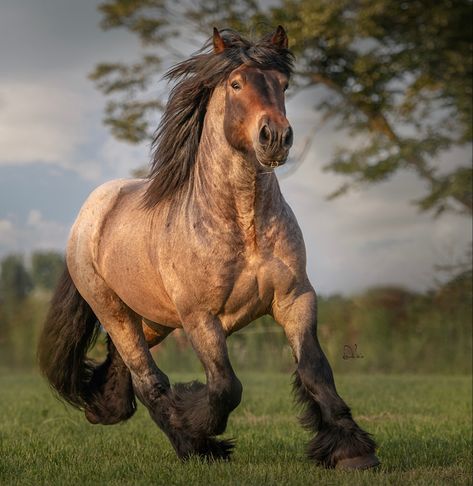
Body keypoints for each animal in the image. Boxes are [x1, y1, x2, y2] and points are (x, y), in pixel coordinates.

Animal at [38, 27, 380, 470]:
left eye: (283, 84)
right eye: (236, 84)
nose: (275, 137)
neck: (244, 225)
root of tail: (87, 216)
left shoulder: (294, 298)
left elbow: (315, 370)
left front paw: (353, 451)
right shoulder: (201, 316)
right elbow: (225, 386)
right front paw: (194, 418)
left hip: (153, 318)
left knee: (122, 364)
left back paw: (106, 409)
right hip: (114, 311)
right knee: (148, 380)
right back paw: (195, 445)